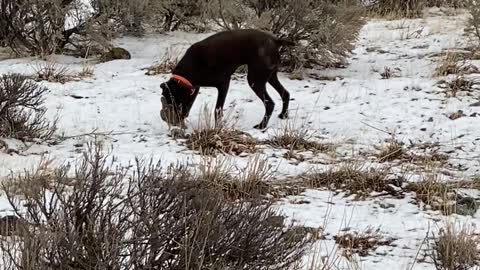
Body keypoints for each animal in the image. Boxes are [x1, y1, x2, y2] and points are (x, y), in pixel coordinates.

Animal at [160, 28, 296, 129]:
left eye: (172, 101)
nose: (166, 118)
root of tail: (275, 40)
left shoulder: (223, 83)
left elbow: (217, 110)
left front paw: (217, 129)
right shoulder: (194, 87)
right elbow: (189, 104)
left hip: (255, 80)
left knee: (270, 103)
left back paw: (262, 125)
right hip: (269, 76)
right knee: (285, 93)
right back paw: (283, 115)